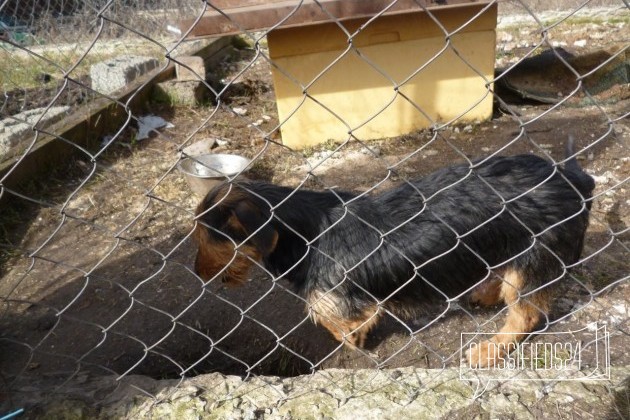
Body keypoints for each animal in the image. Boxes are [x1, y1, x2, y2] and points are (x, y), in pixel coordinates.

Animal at [194, 141, 596, 364]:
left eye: (207, 237)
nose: (198, 274)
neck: (306, 233)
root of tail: (571, 179)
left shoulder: (336, 298)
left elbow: (332, 318)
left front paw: (354, 338)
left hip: (534, 258)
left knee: (525, 314)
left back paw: (490, 350)